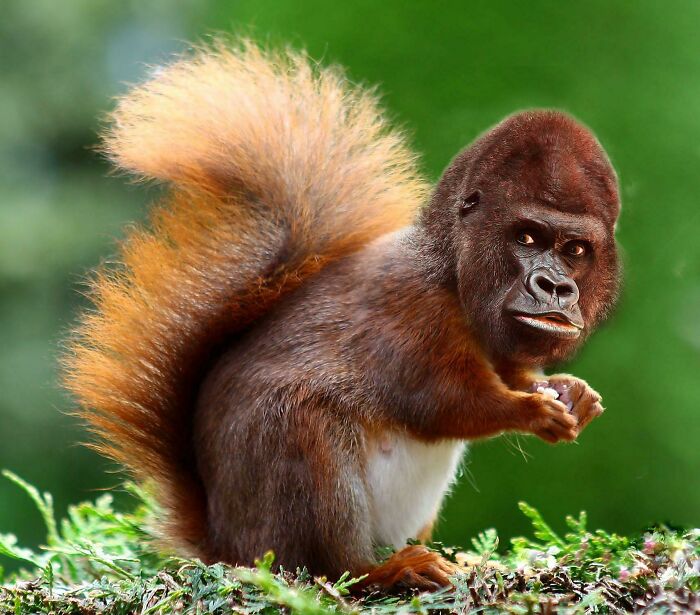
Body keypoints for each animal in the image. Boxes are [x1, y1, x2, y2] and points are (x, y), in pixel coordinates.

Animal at [63, 41, 620, 592]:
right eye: (525, 237)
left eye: (576, 250)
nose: (556, 287)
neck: (449, 279)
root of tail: (226, 543)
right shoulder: (410, 322)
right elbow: (447, 403)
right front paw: (533, 411)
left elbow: (513, 373)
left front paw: (574, 393)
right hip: (306, 461)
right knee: (331, 566)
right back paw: (392, 569)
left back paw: (458, 561)